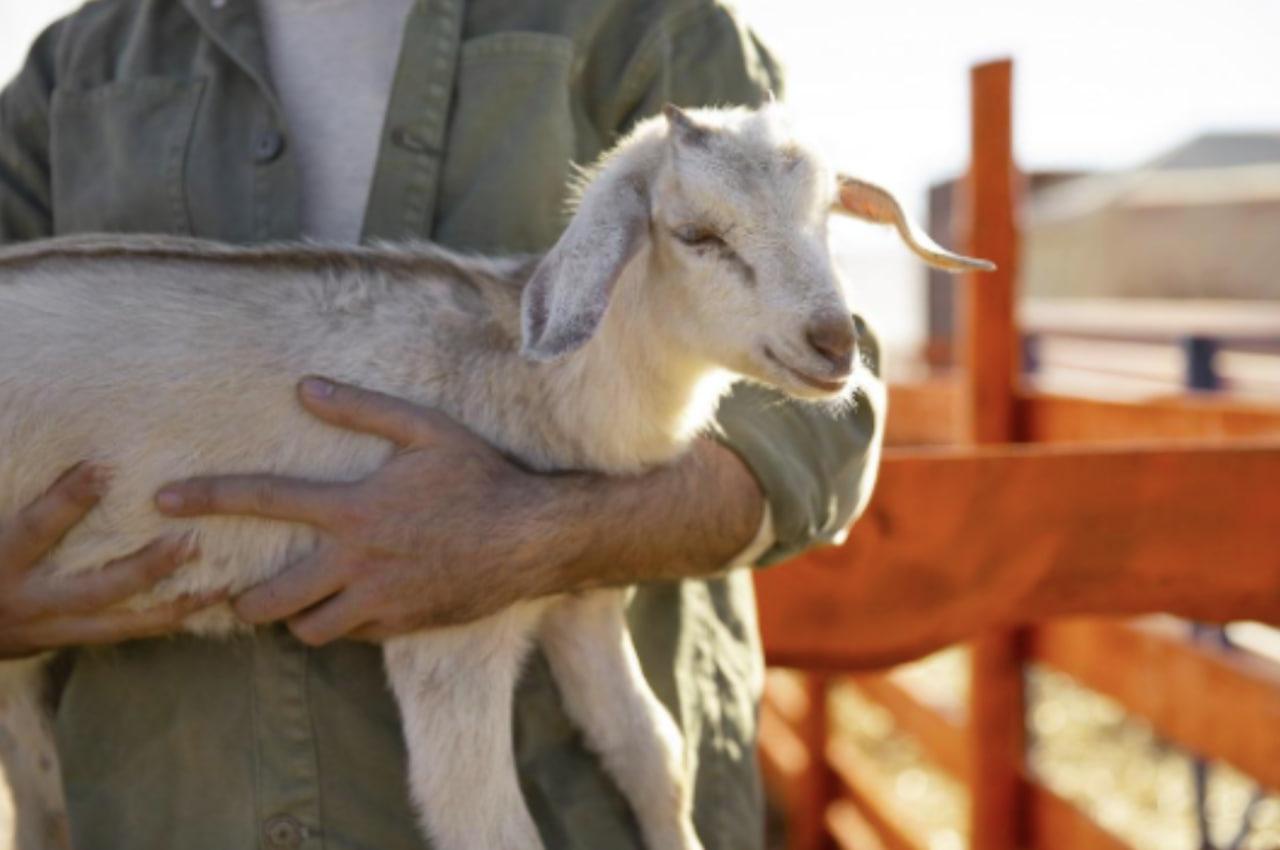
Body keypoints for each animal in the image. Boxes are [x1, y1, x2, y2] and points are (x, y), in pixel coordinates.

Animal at [0, 103, 991, 850]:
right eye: (695, 234)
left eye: (827, 220)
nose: (835, 344)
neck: (526, 379)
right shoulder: (445, 628)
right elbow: (482, 821)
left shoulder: (581, 596)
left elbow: (656, 755)